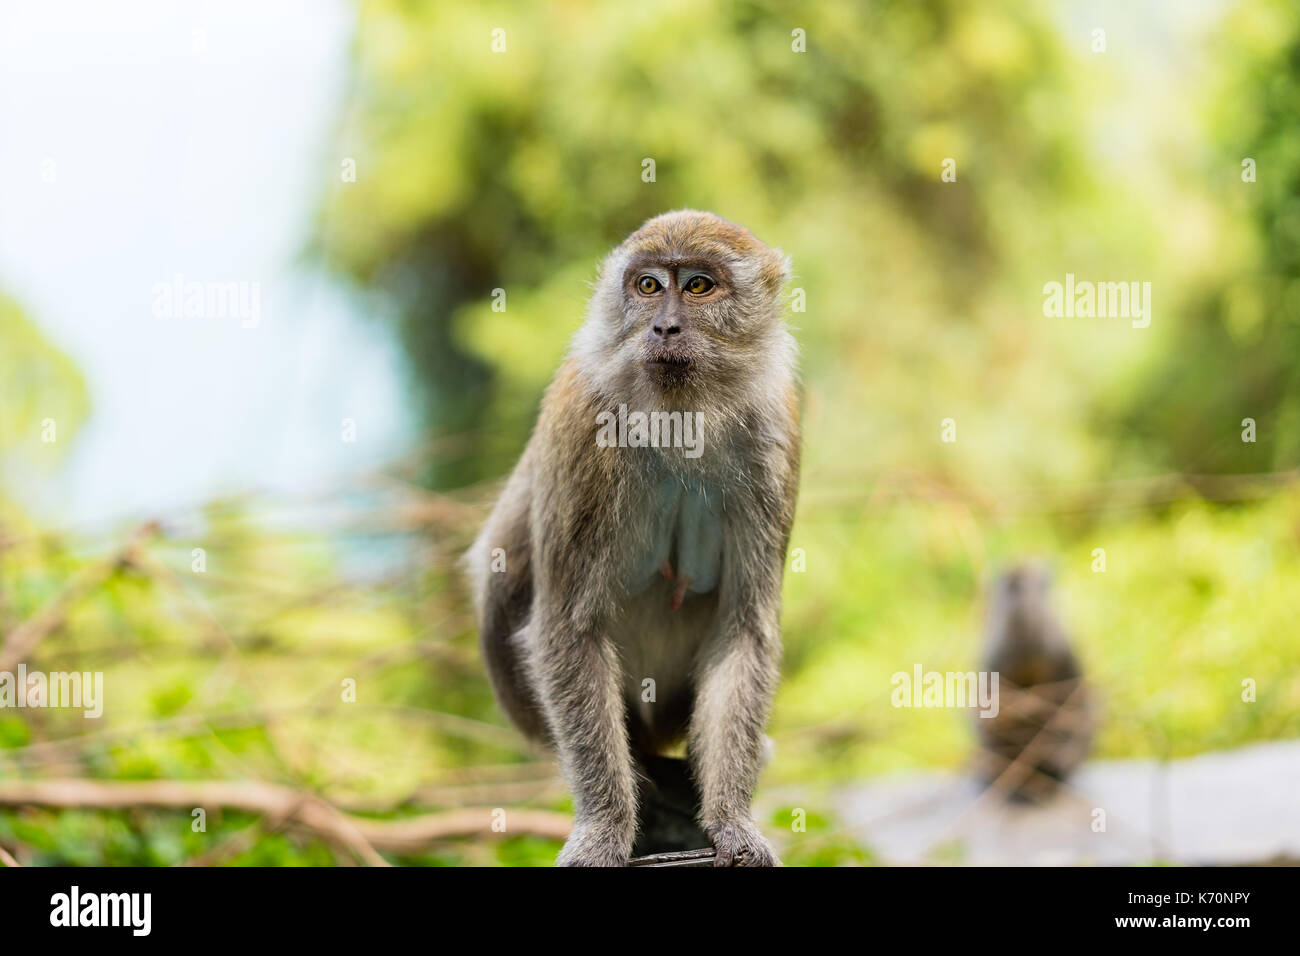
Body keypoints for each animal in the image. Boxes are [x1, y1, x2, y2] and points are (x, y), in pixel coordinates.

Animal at [462, 209, 795, 868]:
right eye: (647, 286)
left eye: (698, 286)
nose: (664, 325)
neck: (683, 413)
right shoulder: (583, 419)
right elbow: (569, 628)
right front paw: (605, 829)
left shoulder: (776, 428)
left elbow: (744, 630)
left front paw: (731, 820)